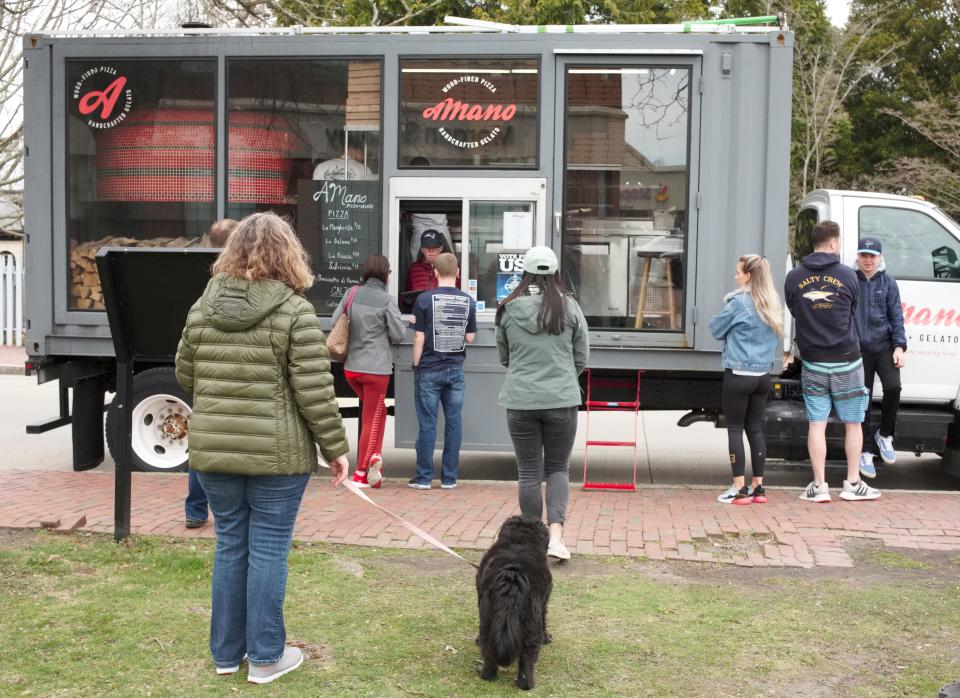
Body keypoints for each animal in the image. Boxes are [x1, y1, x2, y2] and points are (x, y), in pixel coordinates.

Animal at [476, 512, 552, 688]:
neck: (520, 540)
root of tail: (513, 576)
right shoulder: (543, 603)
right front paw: (547, 637)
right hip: (531, 624)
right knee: (526, 658)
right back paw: (526, 684)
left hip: (488, 619)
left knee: (490, 651)